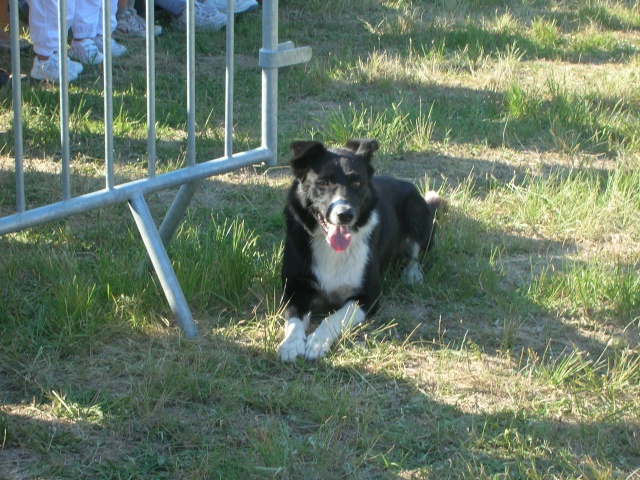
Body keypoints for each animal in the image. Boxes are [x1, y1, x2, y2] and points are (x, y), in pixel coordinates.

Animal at [278, 138, 442, 360]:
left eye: (356, 183)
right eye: (322, 183)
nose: (345, 214)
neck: (330, 247)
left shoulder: (368, 297)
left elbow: (333, 318)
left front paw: (317, 342)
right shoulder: (294, 287)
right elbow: (294, 319)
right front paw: (291, 343)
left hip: (415, 211)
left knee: (414, 254)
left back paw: (412, 274)